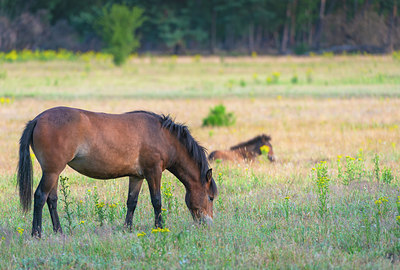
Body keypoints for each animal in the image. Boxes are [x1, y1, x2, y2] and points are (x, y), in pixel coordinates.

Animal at [18, 106, 219, 237]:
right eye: (210, 198)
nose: (208, 223)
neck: (163, 136)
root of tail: (38, 119)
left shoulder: (137, 176)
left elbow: (132, 202)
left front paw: (127, 228)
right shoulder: (153, 172)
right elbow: (157, 201)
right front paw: (160, 227)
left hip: (53, 172)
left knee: (51, 199)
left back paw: (59, 231)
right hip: (52, 171)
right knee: (40, 196)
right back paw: (37, 233)